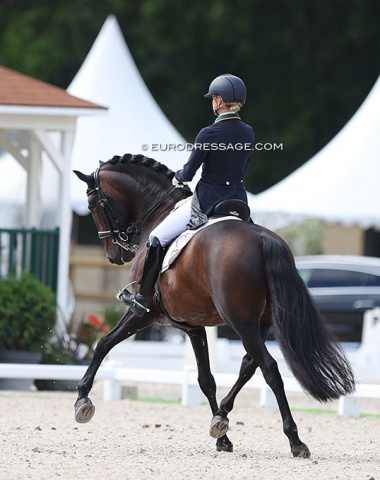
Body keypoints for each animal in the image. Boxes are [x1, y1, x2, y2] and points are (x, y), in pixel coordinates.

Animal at [75, 154, 356, 458]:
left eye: (92, 206)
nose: (115, 255)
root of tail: (263, 239)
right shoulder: (193, 327)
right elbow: (206, 379)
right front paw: (223, 438)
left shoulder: (143, 313)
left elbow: (103, 343)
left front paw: (82, 400)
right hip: (260, 322)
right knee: (249, 365)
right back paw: (221, 416)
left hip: (240, 321)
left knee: (269, 367)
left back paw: (295, 441)